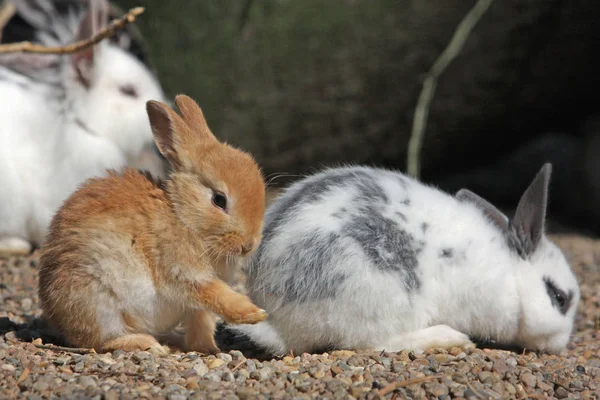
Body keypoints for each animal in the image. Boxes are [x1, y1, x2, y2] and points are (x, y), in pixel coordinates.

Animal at [37, 95, 268, 354]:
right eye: (219, 200)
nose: (248, 245)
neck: (182, 217)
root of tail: (57, 317)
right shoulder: (182, 270)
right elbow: (214, 294)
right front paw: (254, 314)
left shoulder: (196, 307)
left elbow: (202, 324)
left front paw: (209, 349)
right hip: (98, 301)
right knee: (101, 340)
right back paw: (148, 344)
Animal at [229, 162, 580, 356]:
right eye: (559, 298)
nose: (560, 344)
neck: (511, 275)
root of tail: (278, 322)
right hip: (380, 297)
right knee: (367, 343)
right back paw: (448, 338)